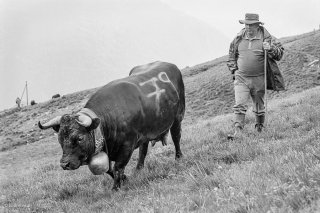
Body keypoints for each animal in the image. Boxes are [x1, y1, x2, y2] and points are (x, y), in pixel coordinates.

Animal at [38, 61, 185, 190]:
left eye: (79, 138)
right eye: (60, 139)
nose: (64, 164)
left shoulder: (127, 146)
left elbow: (118, 167)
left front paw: (116, 187)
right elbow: (109, 170)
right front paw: (125, 179)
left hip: (177, 117)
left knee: (176, 137)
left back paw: (178, 157)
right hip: (147, 130)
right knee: (143, 149)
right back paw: (139, 168)